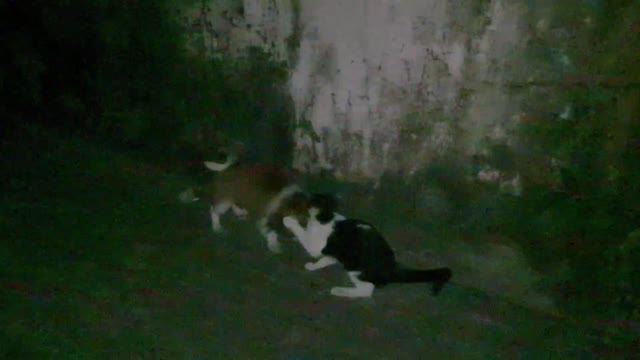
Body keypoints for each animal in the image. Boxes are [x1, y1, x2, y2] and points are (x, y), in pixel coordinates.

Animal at [282, 194, 452, 298]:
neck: (326, 218)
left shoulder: (316, 246)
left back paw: (340, 291)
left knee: (366, 290)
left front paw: (288, 221)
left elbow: (303, 233)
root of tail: (391, 266)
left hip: (357, 270)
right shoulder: (335, 253)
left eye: (308, 201)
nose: (303, 199)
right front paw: (313, 266)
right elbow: (325, 260)